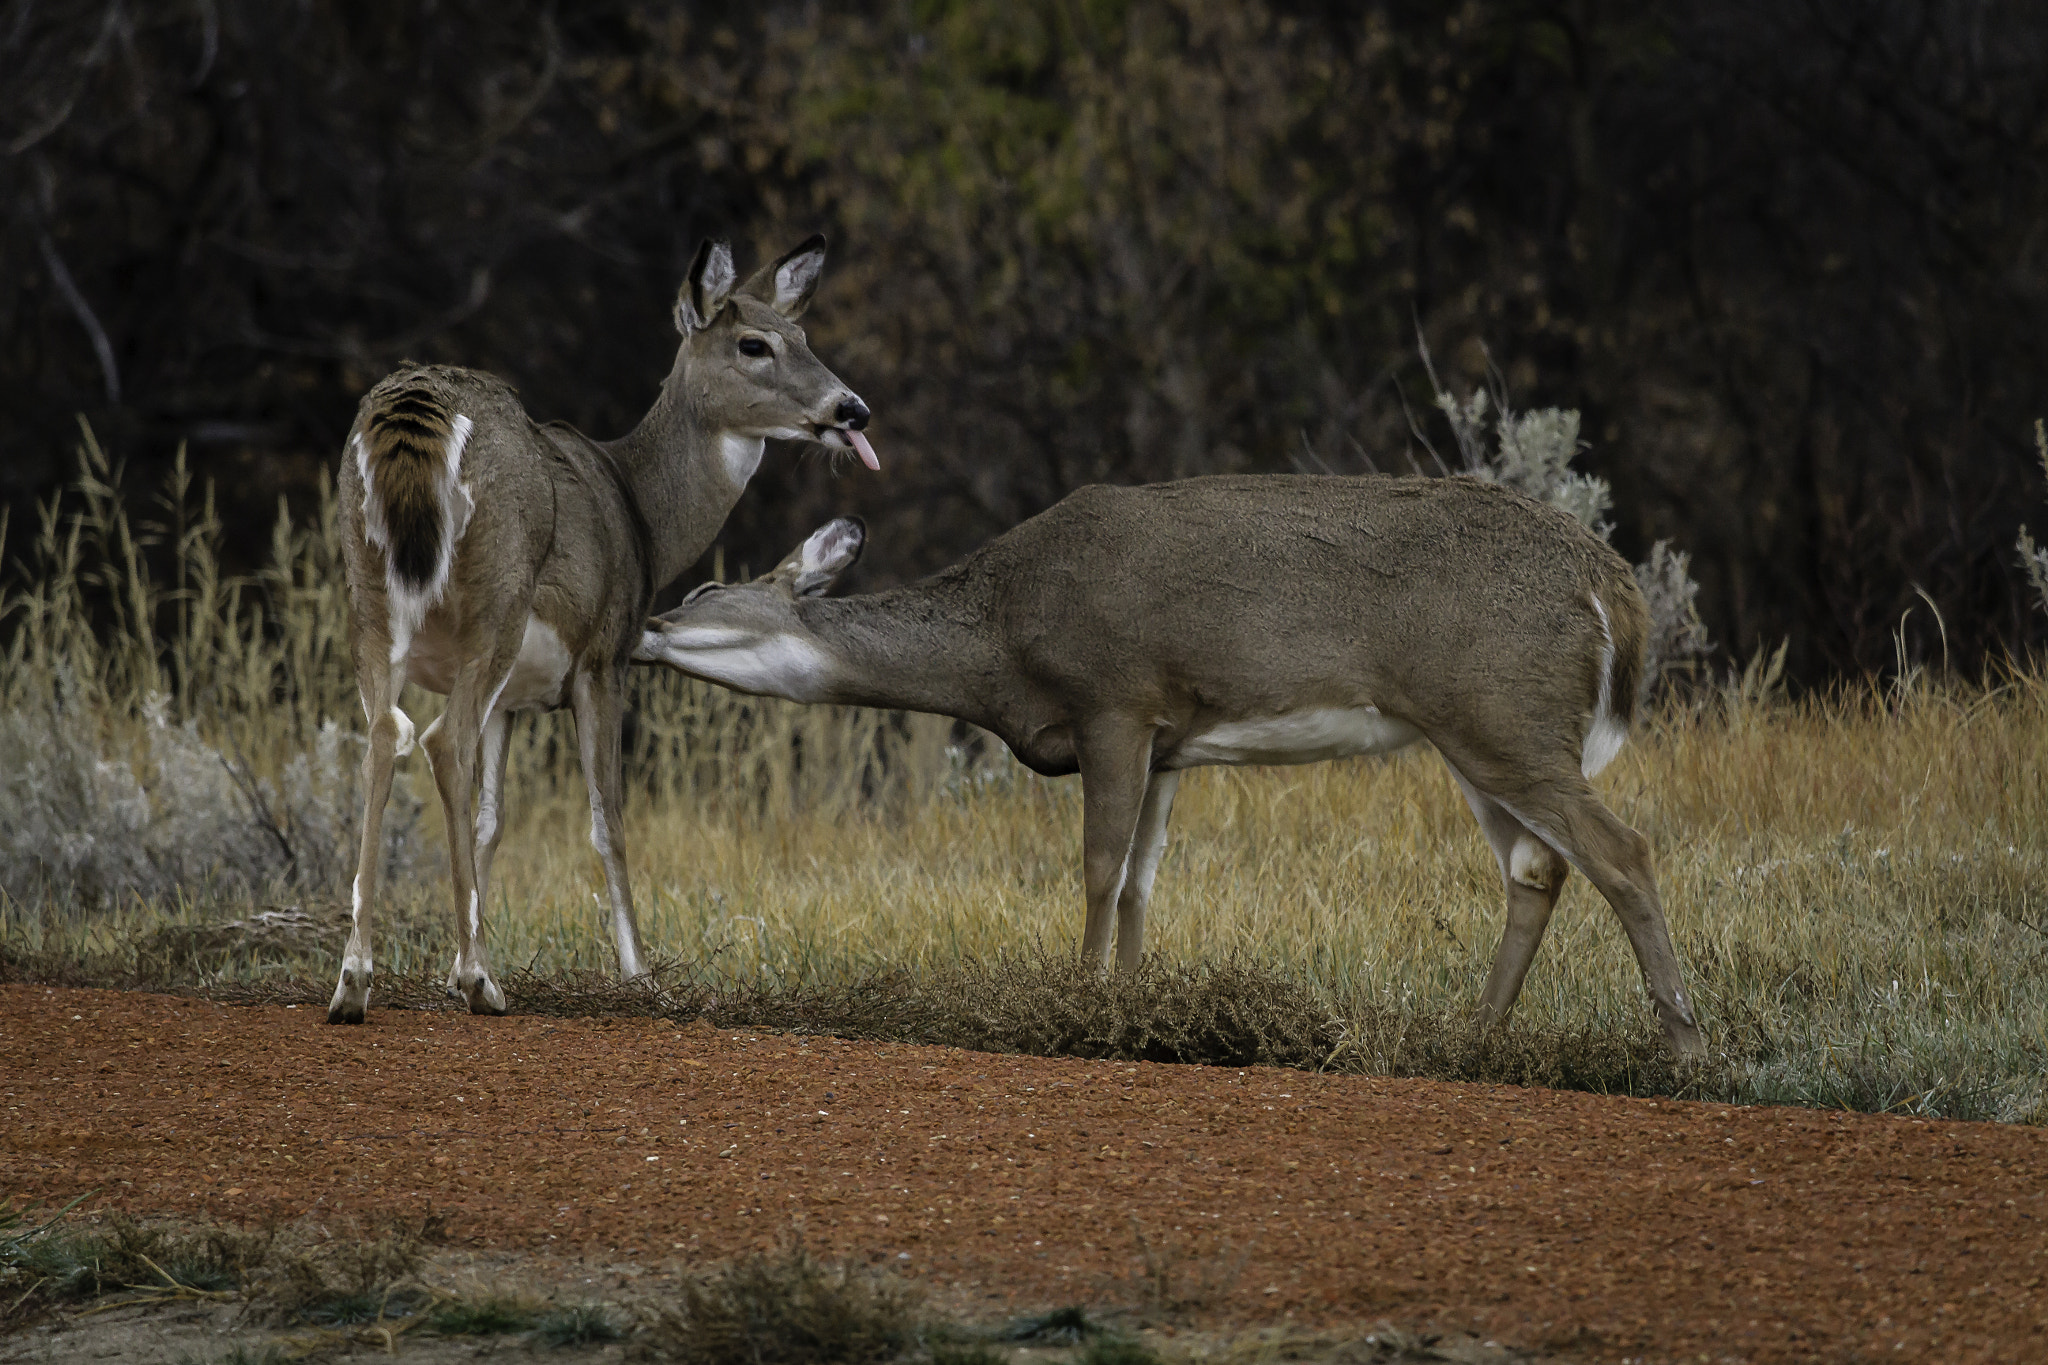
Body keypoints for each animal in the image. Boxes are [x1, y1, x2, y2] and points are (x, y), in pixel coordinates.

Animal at [638, 470, 1712, 1055]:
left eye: (703, 589)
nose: (642, 624)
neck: (1001, 642)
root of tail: (1614, 586)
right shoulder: (1169, 742)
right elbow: (1141, 883)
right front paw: (1139, 1006)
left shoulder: (1113, 700)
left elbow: (1097, 868)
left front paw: (1077, 1008)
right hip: (1478, 733)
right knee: (1537, 869)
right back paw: (1474, 1036)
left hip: (1503, 713)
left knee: (1623, 850)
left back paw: (1685, 1045)